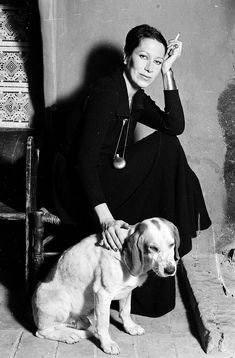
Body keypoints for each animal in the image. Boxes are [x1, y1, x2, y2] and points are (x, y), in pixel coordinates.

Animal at [31, 217, 180, 354]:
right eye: (153, 248)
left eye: (172, 245)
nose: (170, 270)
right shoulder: (103, 294)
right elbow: (103, 325)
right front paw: (107, 344)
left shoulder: (127, 290)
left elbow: (125, 311)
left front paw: (130, 327)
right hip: (62, 304)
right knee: (43, 331)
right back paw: (71, 335)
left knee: (70, 324)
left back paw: (78, 329)